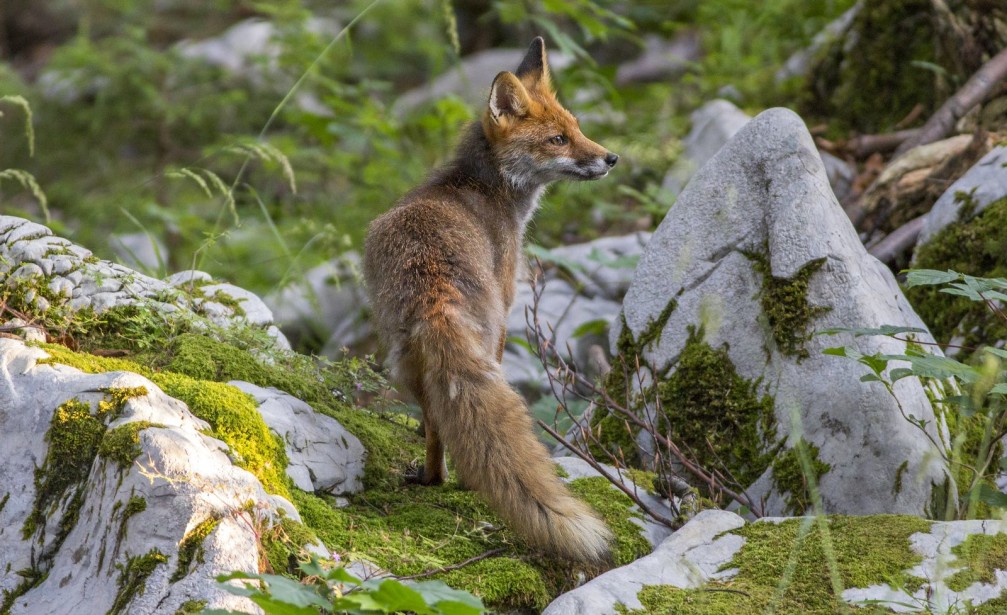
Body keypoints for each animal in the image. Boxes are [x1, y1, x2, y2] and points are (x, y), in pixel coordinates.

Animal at [362, 34, 612, 563]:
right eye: (558, 140)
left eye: (577, 128)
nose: (610, 158)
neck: (483, 188)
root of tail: (434, 290)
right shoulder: (508, 302)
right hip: (488, 337)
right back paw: (445, 480)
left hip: (403, 363)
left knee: (437, 421)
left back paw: (428, 477)